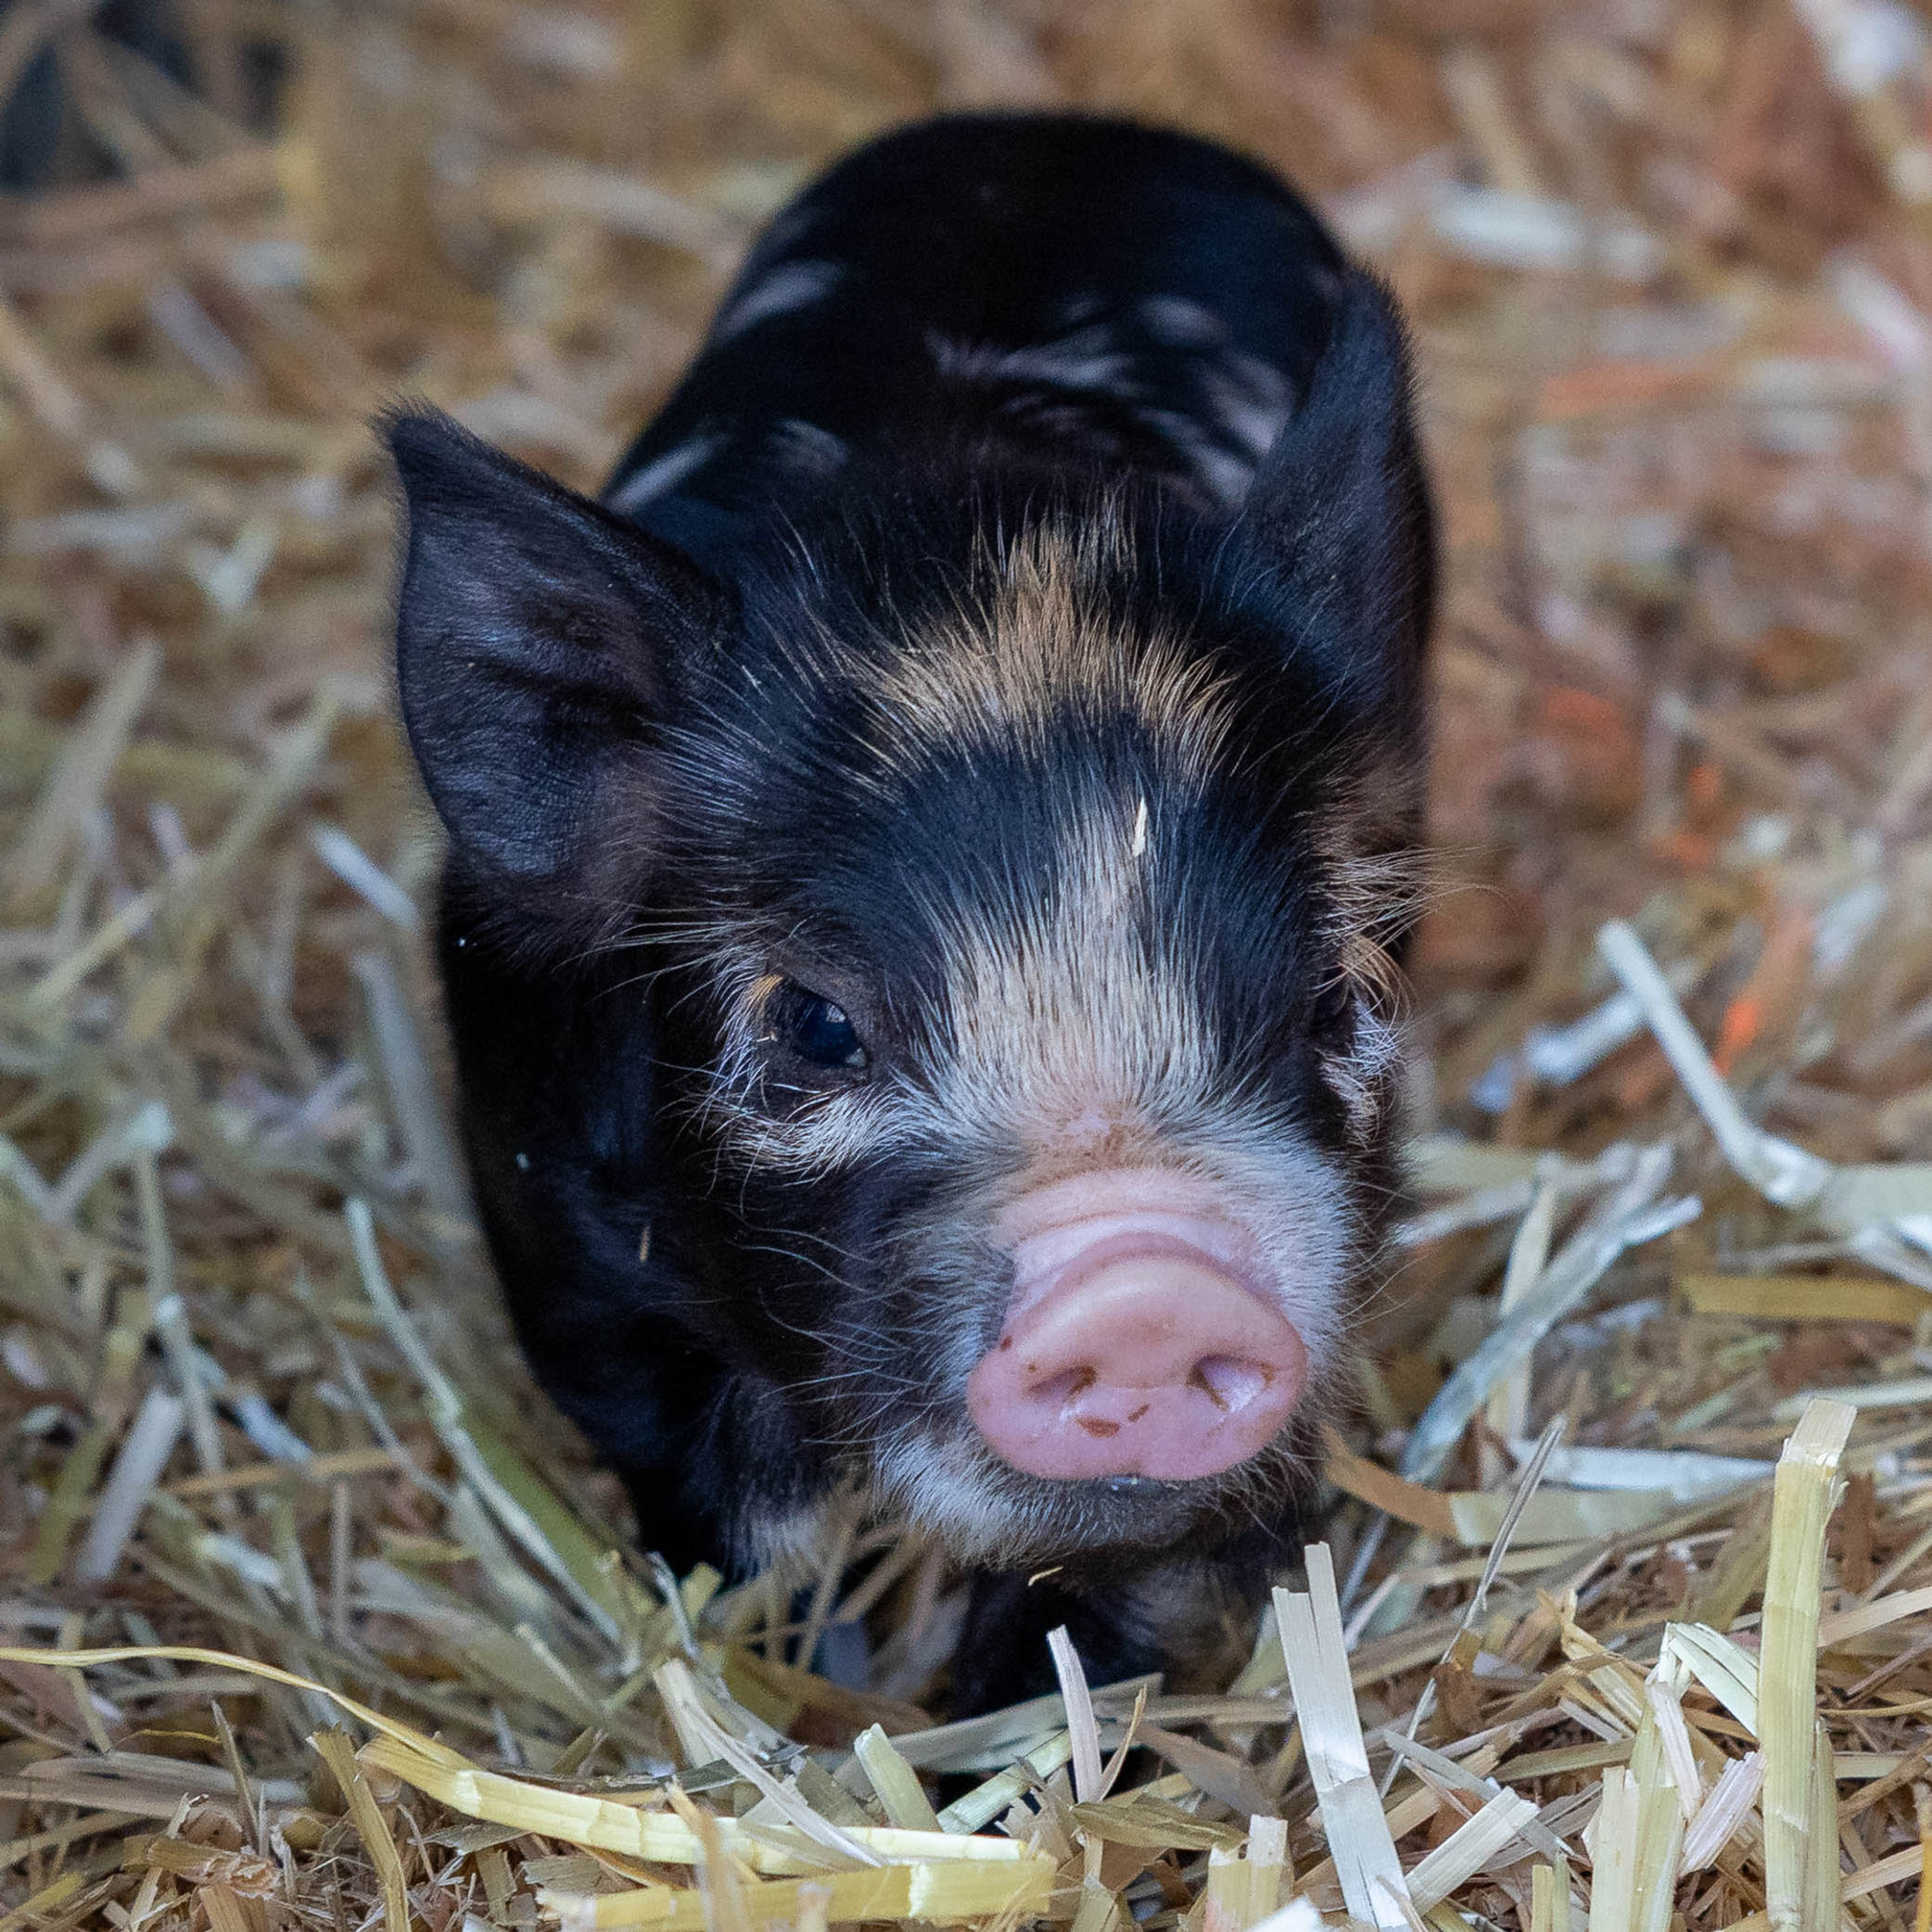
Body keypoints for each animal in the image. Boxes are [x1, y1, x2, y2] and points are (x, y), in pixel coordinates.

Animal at [385, 111, 1432, 1712]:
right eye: (817, 1027)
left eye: (1334, 997)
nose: (1148, 1289)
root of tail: (1062, 127)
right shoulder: (571, 1271)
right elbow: (730, 1517)